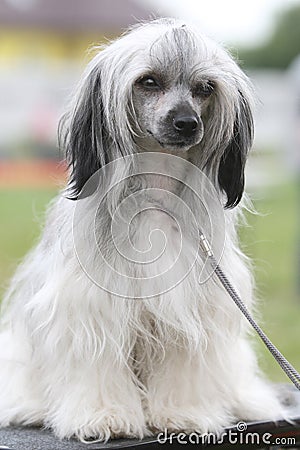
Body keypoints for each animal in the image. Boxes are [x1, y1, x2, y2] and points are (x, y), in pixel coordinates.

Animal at [0, 18, 286, 442]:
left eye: (205, 88)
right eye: (148, 82)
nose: (187, 123)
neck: (155, 190)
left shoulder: (191, 311)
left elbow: (183, 365)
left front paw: (184, 414)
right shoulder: (92, 308)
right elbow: (98, 363)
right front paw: (104, 415)